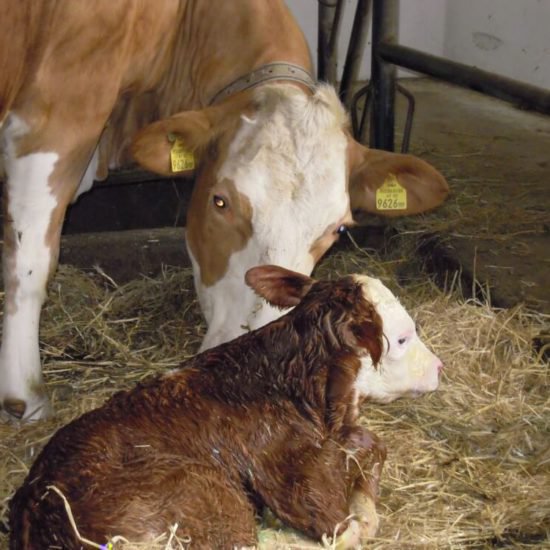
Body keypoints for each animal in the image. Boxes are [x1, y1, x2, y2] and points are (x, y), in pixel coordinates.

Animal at [8, 266, 444, 548]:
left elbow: (371, 447)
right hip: (214, 499)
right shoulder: (297, 479)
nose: (439, 367)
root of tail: (36, 505)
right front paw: (364, 515)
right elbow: (353, 501)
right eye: (402, 338)